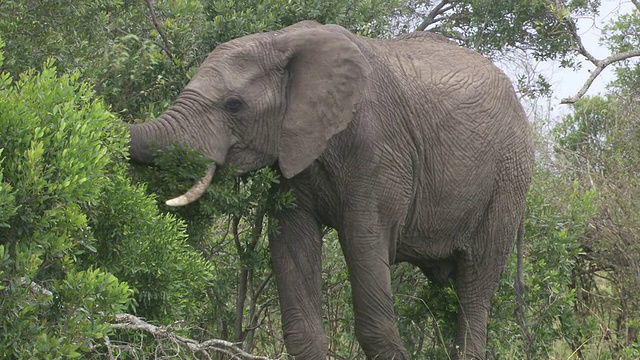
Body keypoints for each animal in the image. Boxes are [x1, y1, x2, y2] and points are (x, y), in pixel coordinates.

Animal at [129, 20, 536, 360]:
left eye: (234, 105)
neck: (281, 41)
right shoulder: (294, 153)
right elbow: (292, 246)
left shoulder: (378, 152)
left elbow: (365, 246)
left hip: (508, 181)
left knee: (475, 284)